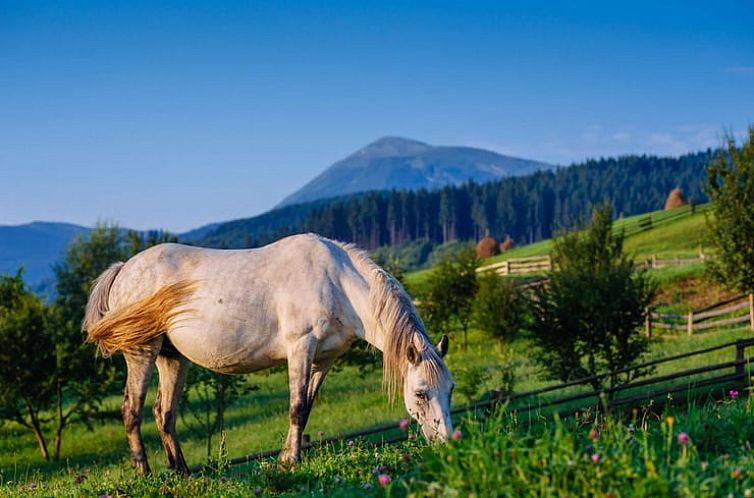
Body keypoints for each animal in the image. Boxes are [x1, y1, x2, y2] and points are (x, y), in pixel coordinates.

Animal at [86, 233, 456, 474]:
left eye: (450, 390)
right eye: (420, 393)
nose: (449, 442)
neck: (337, 282)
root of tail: (123, 269)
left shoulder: (323, 361)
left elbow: (306, 408)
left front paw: (287, 457)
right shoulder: (300, 349)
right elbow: (296, 408)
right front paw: (291, 461)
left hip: (172, 358)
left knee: (164, 413)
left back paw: (181, 471)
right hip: (141, 352)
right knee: (131, 410)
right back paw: (145, 473)